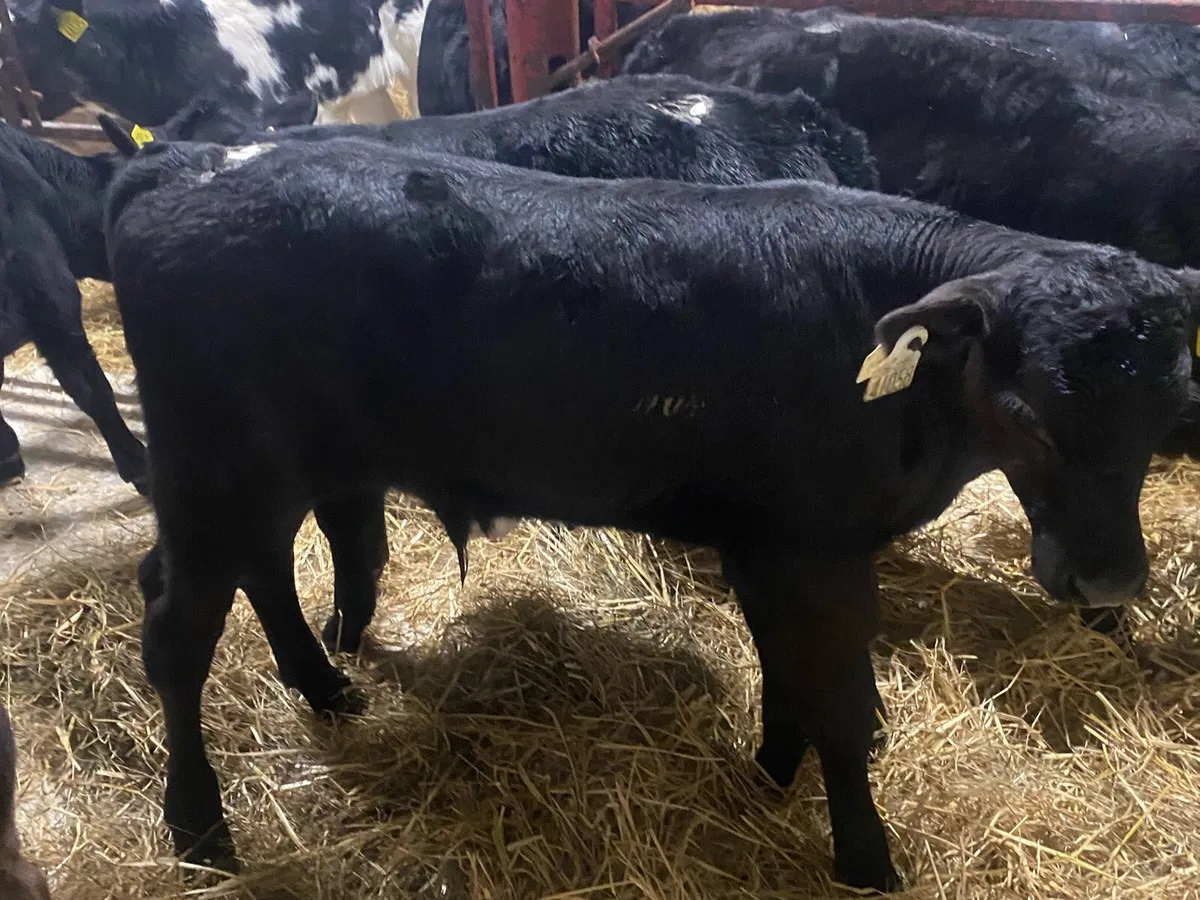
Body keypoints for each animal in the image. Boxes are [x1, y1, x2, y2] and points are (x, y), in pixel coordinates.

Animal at [102, 133, 1195, 891]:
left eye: (1166, 413)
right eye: (1030, 417)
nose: (1111, 577)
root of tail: (194, 164)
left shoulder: (766, 543)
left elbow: (785, 676)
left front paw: (770, 770)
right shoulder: (819, 553)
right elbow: (841, 707)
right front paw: (865, 859)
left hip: (265, 475)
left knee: (264, 572)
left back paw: (323, 686)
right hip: (215, 474)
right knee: (178, 633)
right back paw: (199, 830)